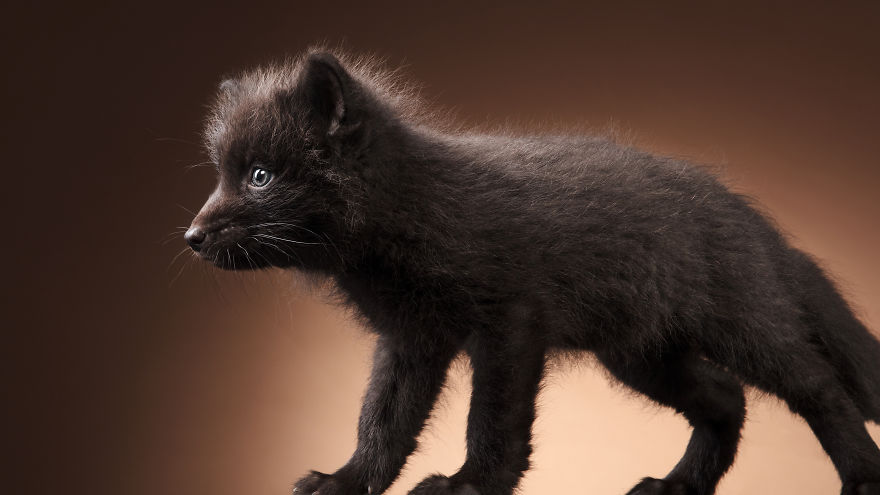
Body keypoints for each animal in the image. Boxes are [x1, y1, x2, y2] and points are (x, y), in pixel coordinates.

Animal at [184, 49, 880, 495]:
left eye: (259, 176)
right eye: (223, 175)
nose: (191, 238)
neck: (415, 206)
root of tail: (751, 217)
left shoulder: (509, 327)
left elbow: (493, 419)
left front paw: (469, 485)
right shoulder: (412, 340)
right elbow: (383, 418)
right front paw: (346, 480)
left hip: (744, 330)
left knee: (819, 387)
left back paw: (862, 477)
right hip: (642, 354)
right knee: (727, 397)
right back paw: (677, 486)